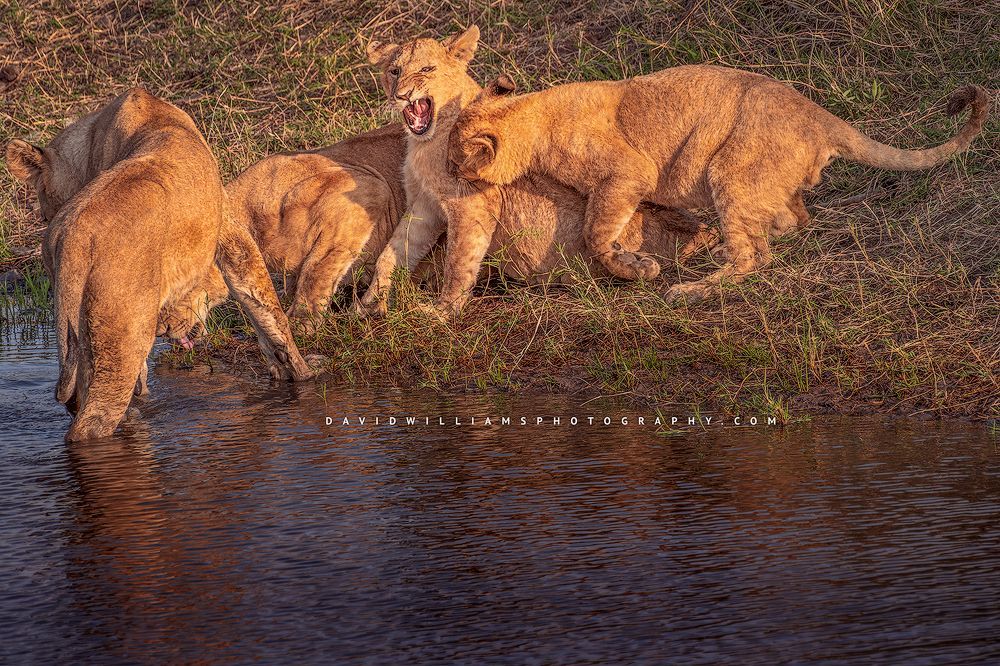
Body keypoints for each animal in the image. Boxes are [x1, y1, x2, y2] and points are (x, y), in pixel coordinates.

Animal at [5, 87, 313, 442]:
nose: (42, 218)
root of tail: (73, 235)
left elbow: (262, 306)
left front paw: (296, 373)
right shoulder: (228, 227)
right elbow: (263, 300)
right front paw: (303, 372)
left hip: (80, 337)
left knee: (78, 397)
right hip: (120, 339)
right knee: (95, 416)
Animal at [357, 26, 717, 318]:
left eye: (427, 69)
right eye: (394, 71)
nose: (402, 95)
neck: (424, 142)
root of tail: (702, 233)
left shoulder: (472, 204)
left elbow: (458, 261)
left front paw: (442, 312)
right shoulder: (425, 204)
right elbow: (392, 252)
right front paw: (369, 303)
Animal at [449, 65, 988, 303]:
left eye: (454, 160)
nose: (450, 176)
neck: (529, 115)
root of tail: (820, 117)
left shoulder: (629, 172)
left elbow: (596, 232)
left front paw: (633, 266)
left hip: (730, 173)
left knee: (756, 257)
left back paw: (693, 289)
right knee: (793, 220)